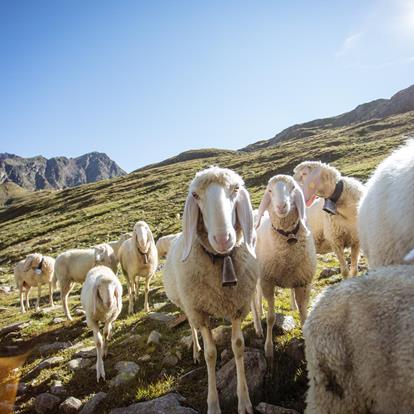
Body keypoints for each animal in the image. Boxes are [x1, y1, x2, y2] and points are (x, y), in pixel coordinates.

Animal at [163, 166, 258, 414]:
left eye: (236, 189)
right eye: (195, 195)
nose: (223, 239)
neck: (222, 260)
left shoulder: (238, 306)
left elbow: (238, 346)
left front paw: (244, 400)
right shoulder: (200, 310)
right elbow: (211, 354)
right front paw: (213, 403)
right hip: (187, 304)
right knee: (191, 325)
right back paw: (195, 350)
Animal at [252, 175, 316, 360]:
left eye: (293, 187)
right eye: (270, 190)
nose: (281, 206)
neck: (288, 237)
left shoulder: (303, 282)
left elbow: (304, 315)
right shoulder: (267, 281)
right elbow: (271, 317)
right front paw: (268, 349)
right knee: (253, 301)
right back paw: (258, 326)